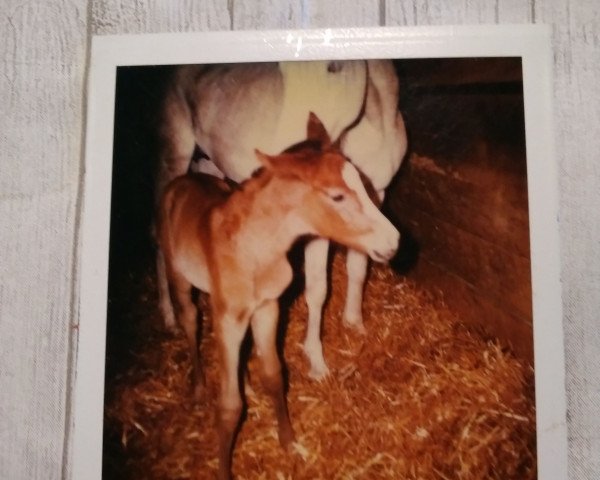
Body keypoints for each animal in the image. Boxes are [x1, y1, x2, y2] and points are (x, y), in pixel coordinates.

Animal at [156, 113, 398, 480]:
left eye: (362, 183)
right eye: (337, 197)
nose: (394, 241)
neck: (255, 248)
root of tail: (180, 182)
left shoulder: (267, 308)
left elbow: (273, 374)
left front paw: (289, 441)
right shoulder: (229, 318)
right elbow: (229, 405)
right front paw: (225, 468)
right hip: (179, 276)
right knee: (190, 320)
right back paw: (197, 386)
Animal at [157, 58, 408, 378]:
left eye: (334, 67)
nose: (285, 155)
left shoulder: (377, 194)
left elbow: (358, 269)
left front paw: (354, 323)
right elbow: (317, 289)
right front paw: (316, 362)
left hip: (209, 164)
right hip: (174, 156)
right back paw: (169, 317)